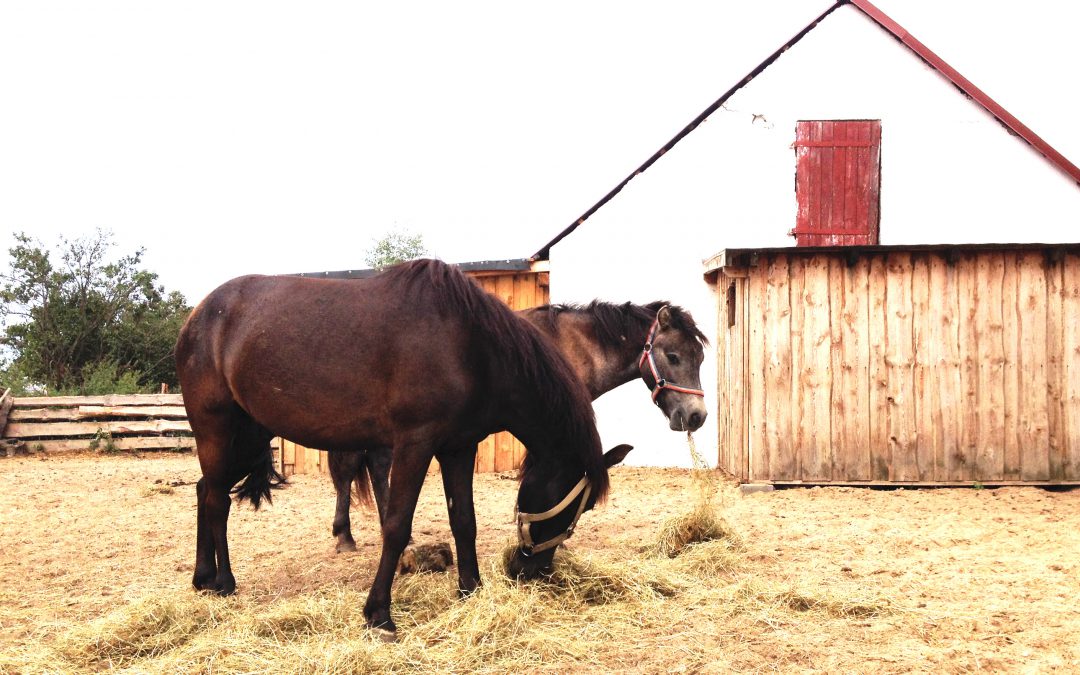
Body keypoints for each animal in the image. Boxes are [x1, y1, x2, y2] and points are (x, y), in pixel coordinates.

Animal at [174, 259, 630, 635]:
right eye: (581, 506)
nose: (532, 570)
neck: (469, 344)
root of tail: (198, 315)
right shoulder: (415, 443)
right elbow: (396, 525)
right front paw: (379, 613)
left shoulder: (458, 448)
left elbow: (464, 520)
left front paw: (471, 590)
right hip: (217, 430)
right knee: (217, 500)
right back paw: (225, 582)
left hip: (250, 434)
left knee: (205, 490)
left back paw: (203, 578)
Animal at [326, 300, 708, 552]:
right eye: (673, 356)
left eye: (700, 357)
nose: (697, 416)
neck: (574, 346)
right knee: (353, 468)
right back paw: (347, 537)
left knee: (372, 467)